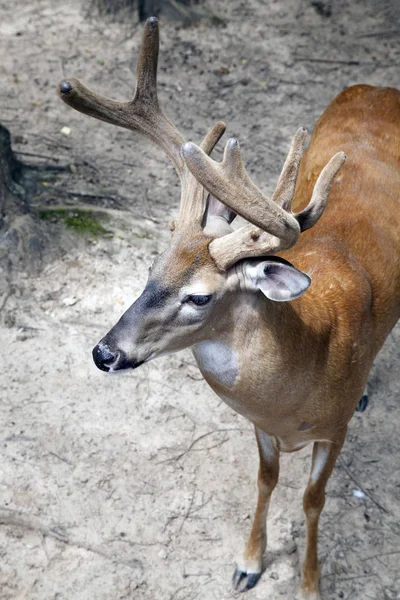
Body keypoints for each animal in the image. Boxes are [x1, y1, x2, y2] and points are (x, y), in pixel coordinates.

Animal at [57, 16, 400, 600]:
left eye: (199, 296)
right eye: (152, 268)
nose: (105, 353)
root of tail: (382, 87)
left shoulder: (333, 431)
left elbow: (312, 500)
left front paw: (310, 583)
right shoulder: (260, 425)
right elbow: (266, 480)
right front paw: (248, 563)